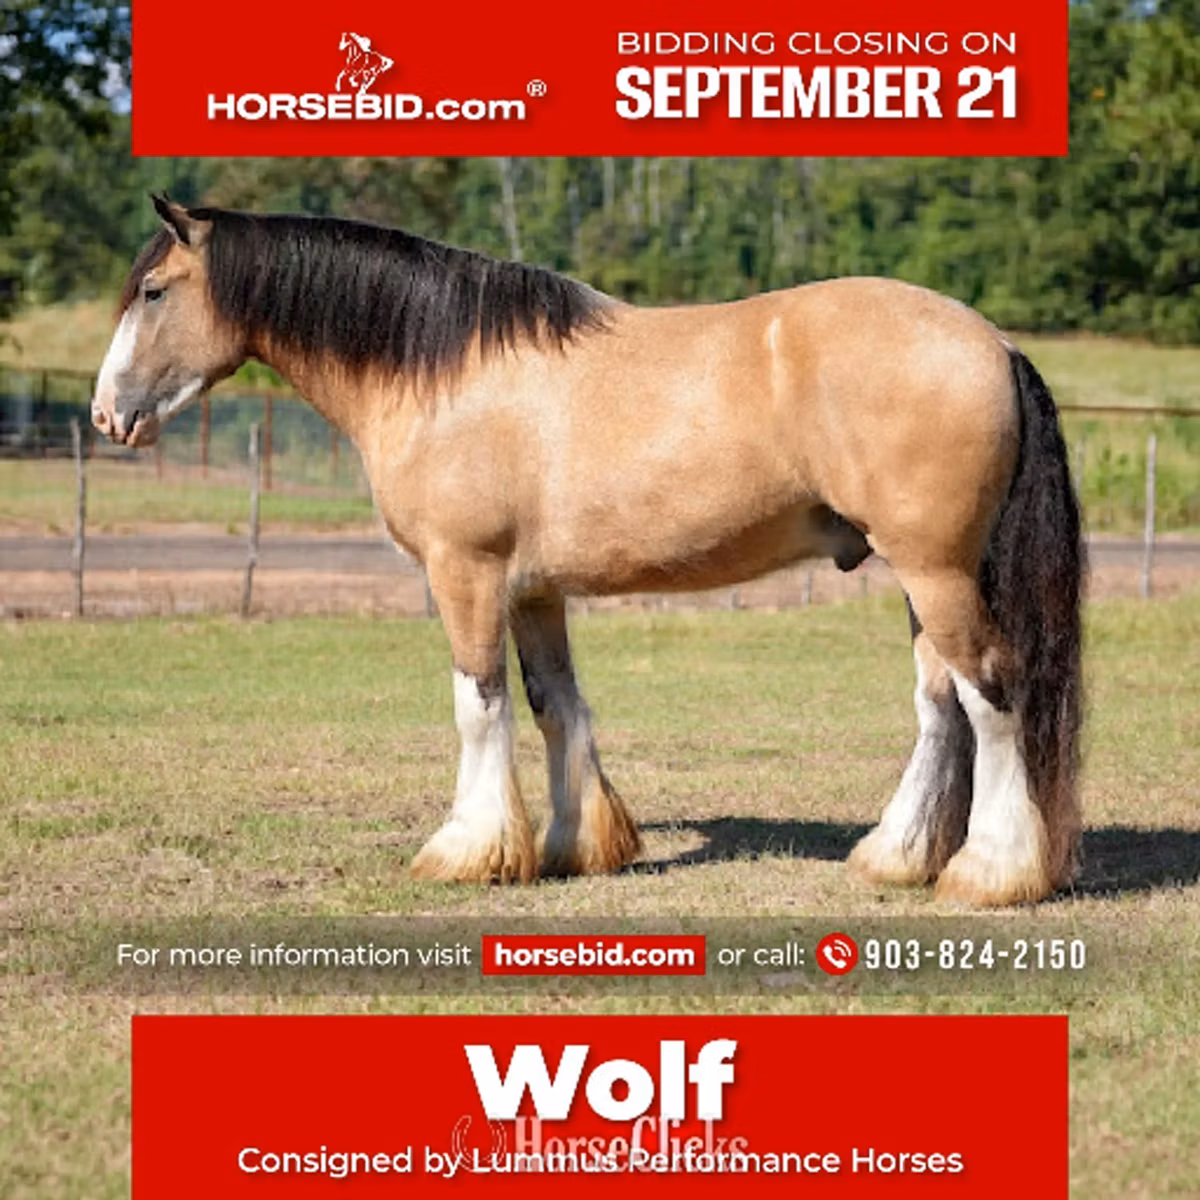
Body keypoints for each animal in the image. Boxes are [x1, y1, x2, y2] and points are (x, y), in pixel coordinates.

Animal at [92, 195, 1085, 907]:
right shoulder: (534, 591)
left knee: (991, 698)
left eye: (154, 292)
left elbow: (480, 706)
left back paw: (991, 872)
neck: (441, 369)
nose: (108, 415)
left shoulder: (466, 576)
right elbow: (554, 705)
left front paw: (468, 852)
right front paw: (578, 846)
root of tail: (994, 343)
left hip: (938, 572)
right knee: (939, 707)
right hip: (923, 579)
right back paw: (897, 858)